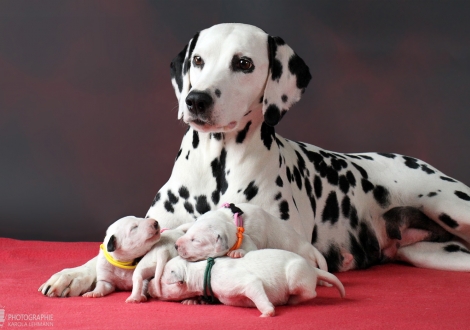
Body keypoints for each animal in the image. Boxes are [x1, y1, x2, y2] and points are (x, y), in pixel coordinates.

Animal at [175, 204, 326, 270]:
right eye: (189, 235)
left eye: (196, 241)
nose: (176, 245)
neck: (229, 219)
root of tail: (311, 248)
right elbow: (187, 224)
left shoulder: (248, 239)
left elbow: (250, 248)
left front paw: (237, 252)